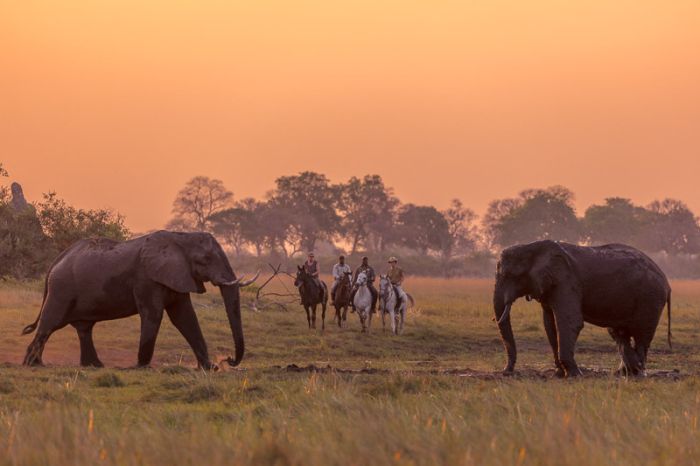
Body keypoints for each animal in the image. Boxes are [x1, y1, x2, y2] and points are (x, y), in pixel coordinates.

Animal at [21, 231, 258, 370]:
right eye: (206, 259)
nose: (228, 360)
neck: (181, 237)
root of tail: (56, 260)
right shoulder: (146, 278)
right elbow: (154, 314)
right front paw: (141, 366)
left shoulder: (177, 275)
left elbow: (185, 317)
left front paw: (209, 368)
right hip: (61, 290)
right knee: (49, 324)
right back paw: (33, 365)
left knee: (83, 328)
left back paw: (94, 366)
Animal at [494, 240, 668, 378]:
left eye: (509, 275)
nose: (507, 371)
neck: (532, 246)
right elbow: (549, 324)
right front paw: (559, 374)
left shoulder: (566, 281)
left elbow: (570, 321)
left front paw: (574, 375)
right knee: (620, 333)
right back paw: (624, 373)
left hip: (651, 299)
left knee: (641, 335)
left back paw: (638, 373)